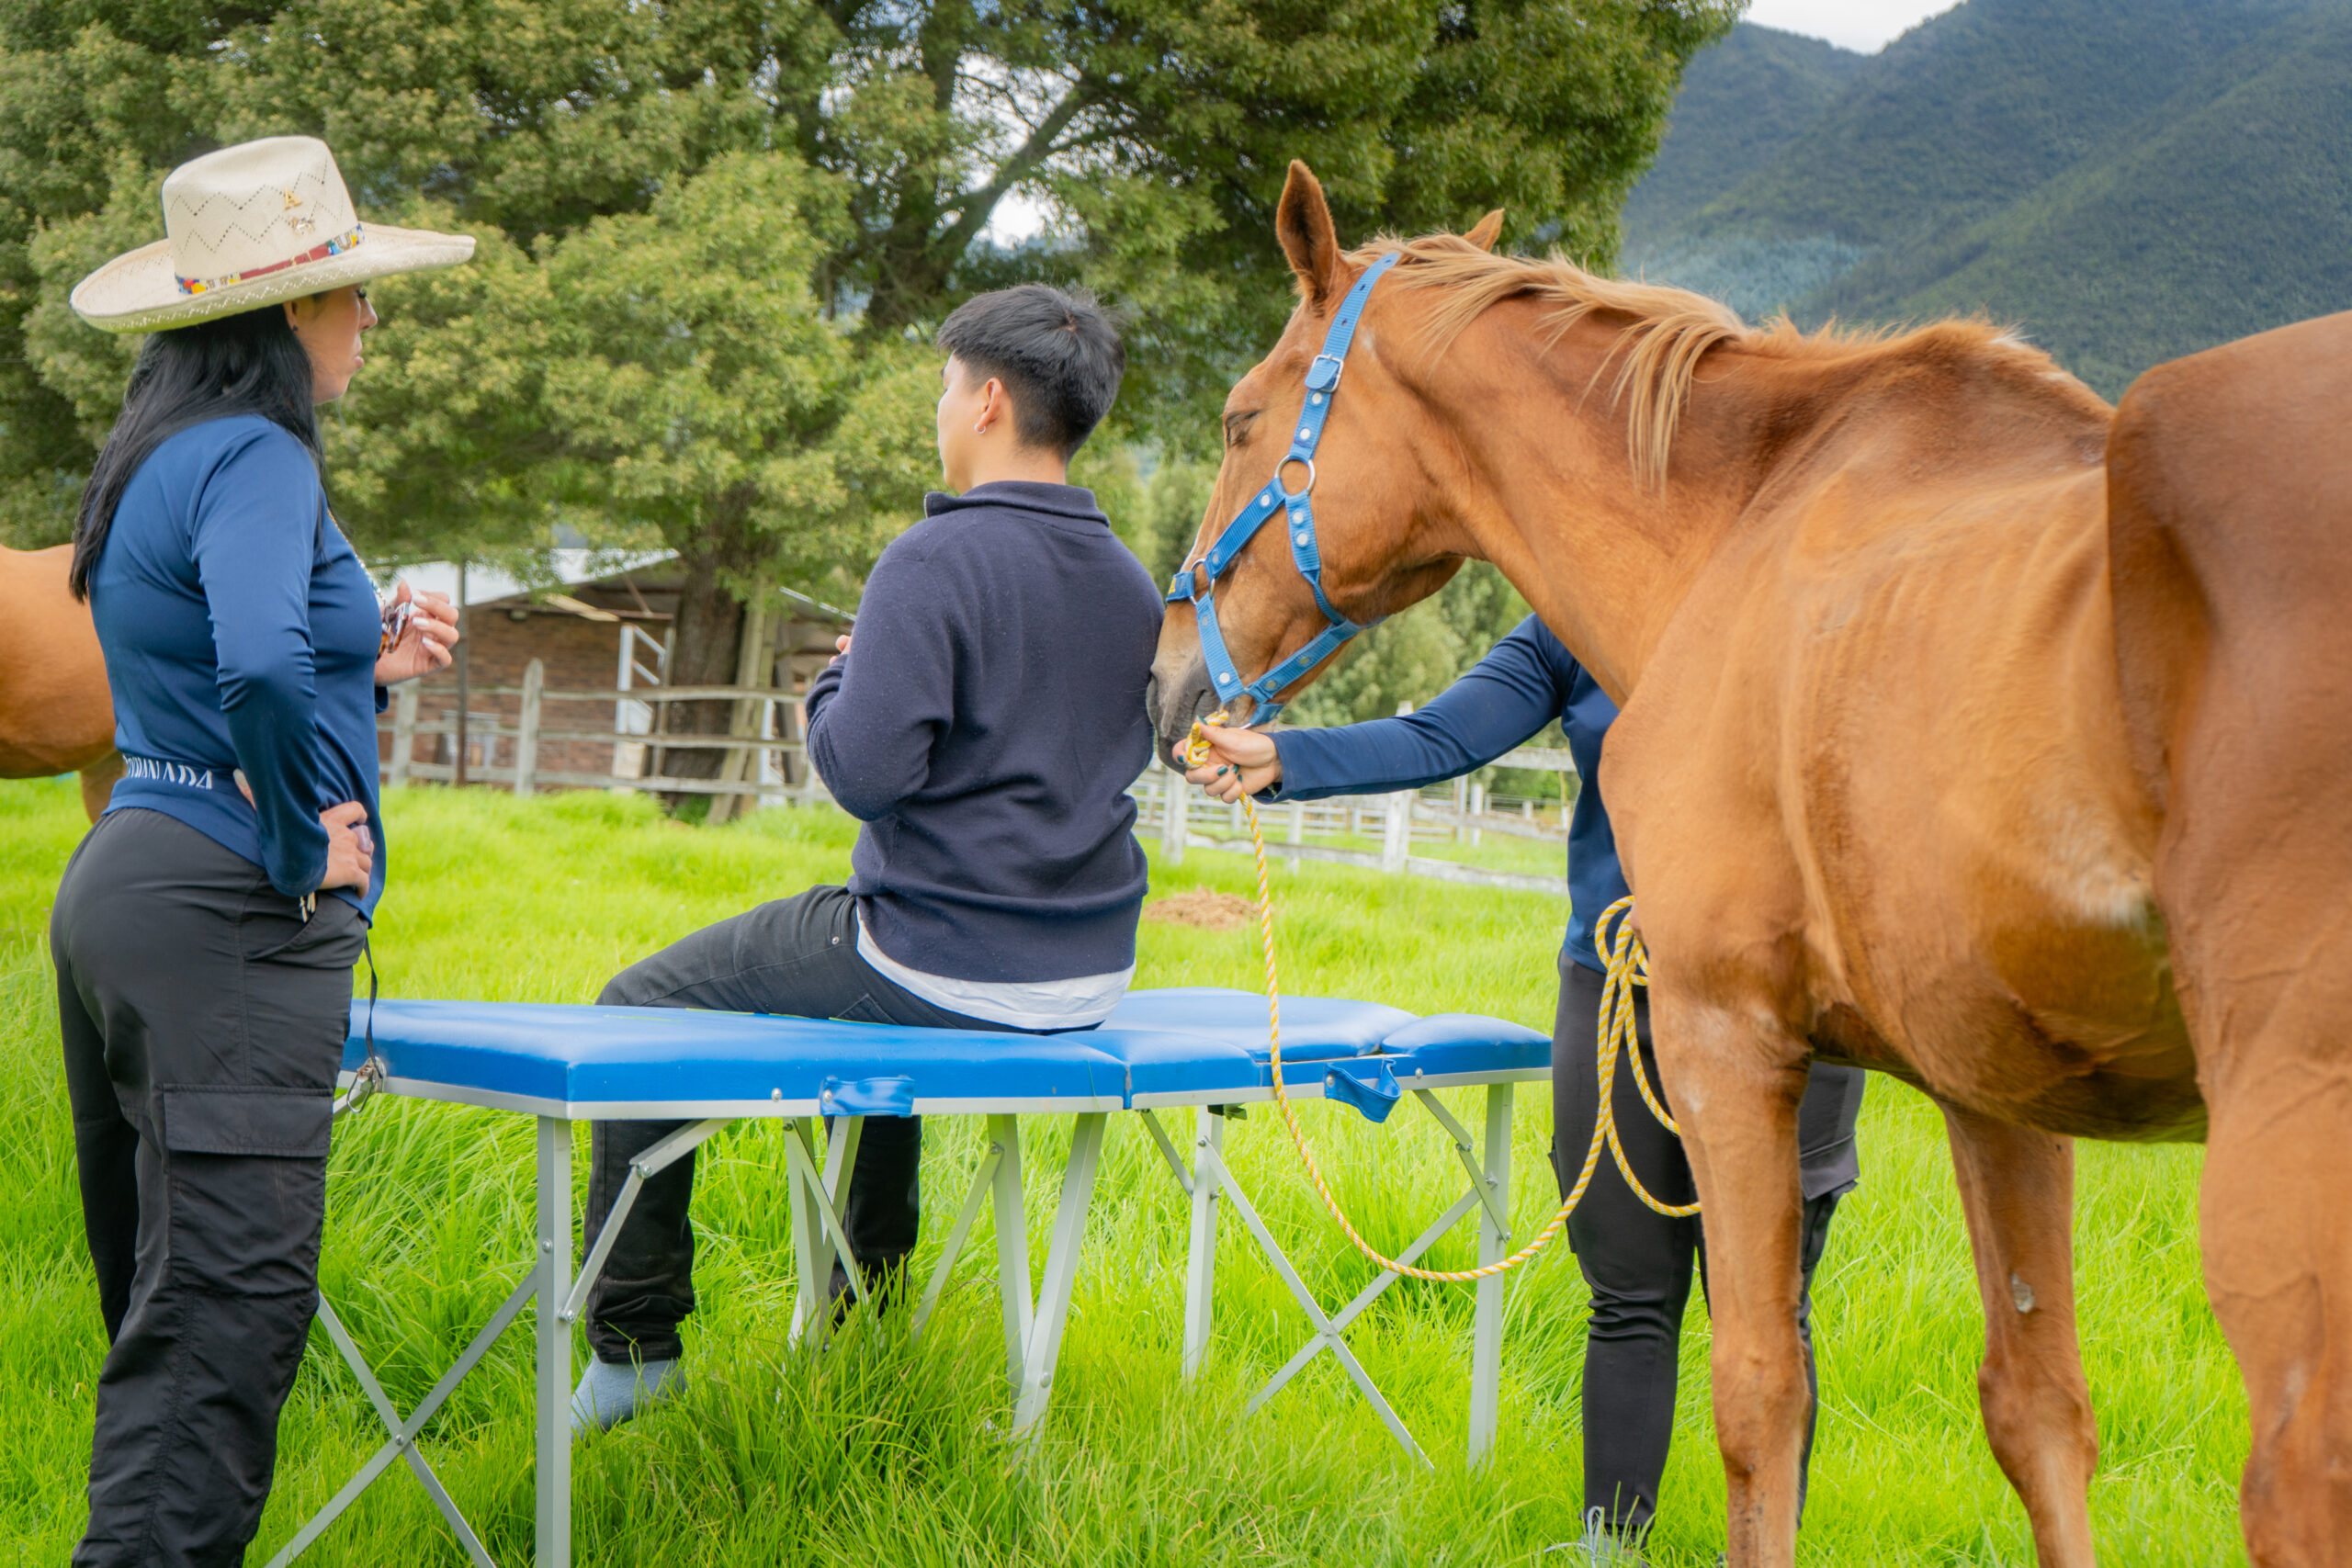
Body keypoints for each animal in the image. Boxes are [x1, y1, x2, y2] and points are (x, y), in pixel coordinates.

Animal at [1150, 161, 2352, 1567]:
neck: (1741, 527)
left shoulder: (1724, 1034)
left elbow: (1757, 1396)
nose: (1173, 681)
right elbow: (2040, 1410)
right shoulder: (1994, 1093)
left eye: (1239, 418)